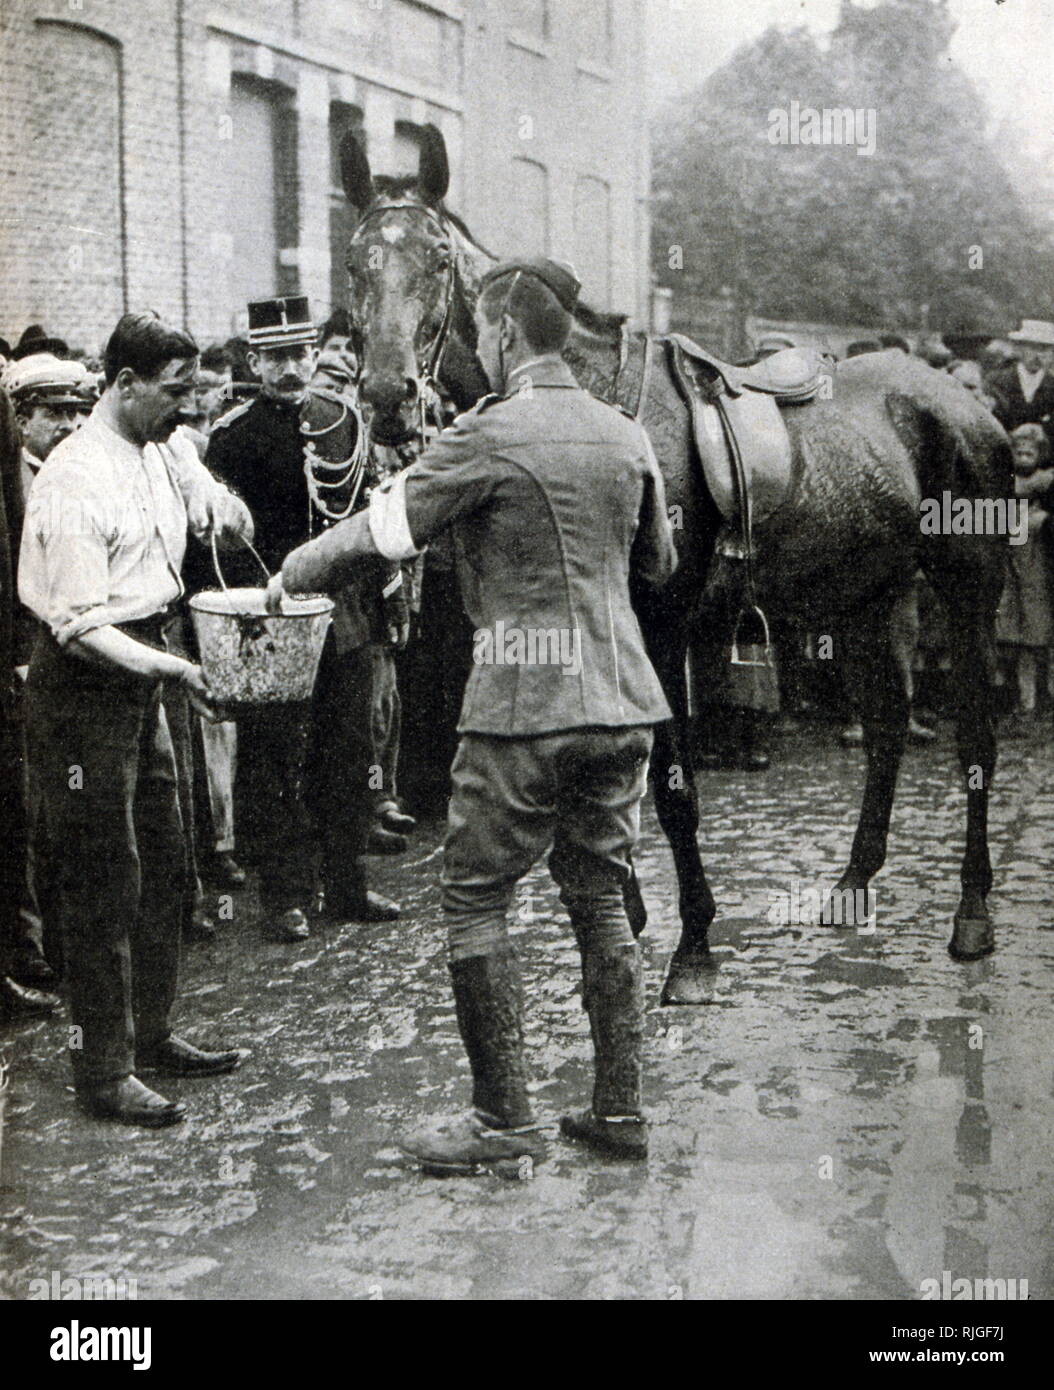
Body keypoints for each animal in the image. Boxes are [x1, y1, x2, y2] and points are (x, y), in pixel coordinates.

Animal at [337, 125, 1017, 1006]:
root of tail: (969, 407)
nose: (387, 396)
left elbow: (672, 790)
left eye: (435, 258)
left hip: (968, 593)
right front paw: (625, 915)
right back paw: (854, 883)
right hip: (863, 593)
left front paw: (692, 947)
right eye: (355, 260)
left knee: (976, 740)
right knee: (888, 724)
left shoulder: (660, 630)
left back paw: (972, 912)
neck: (584, 399)